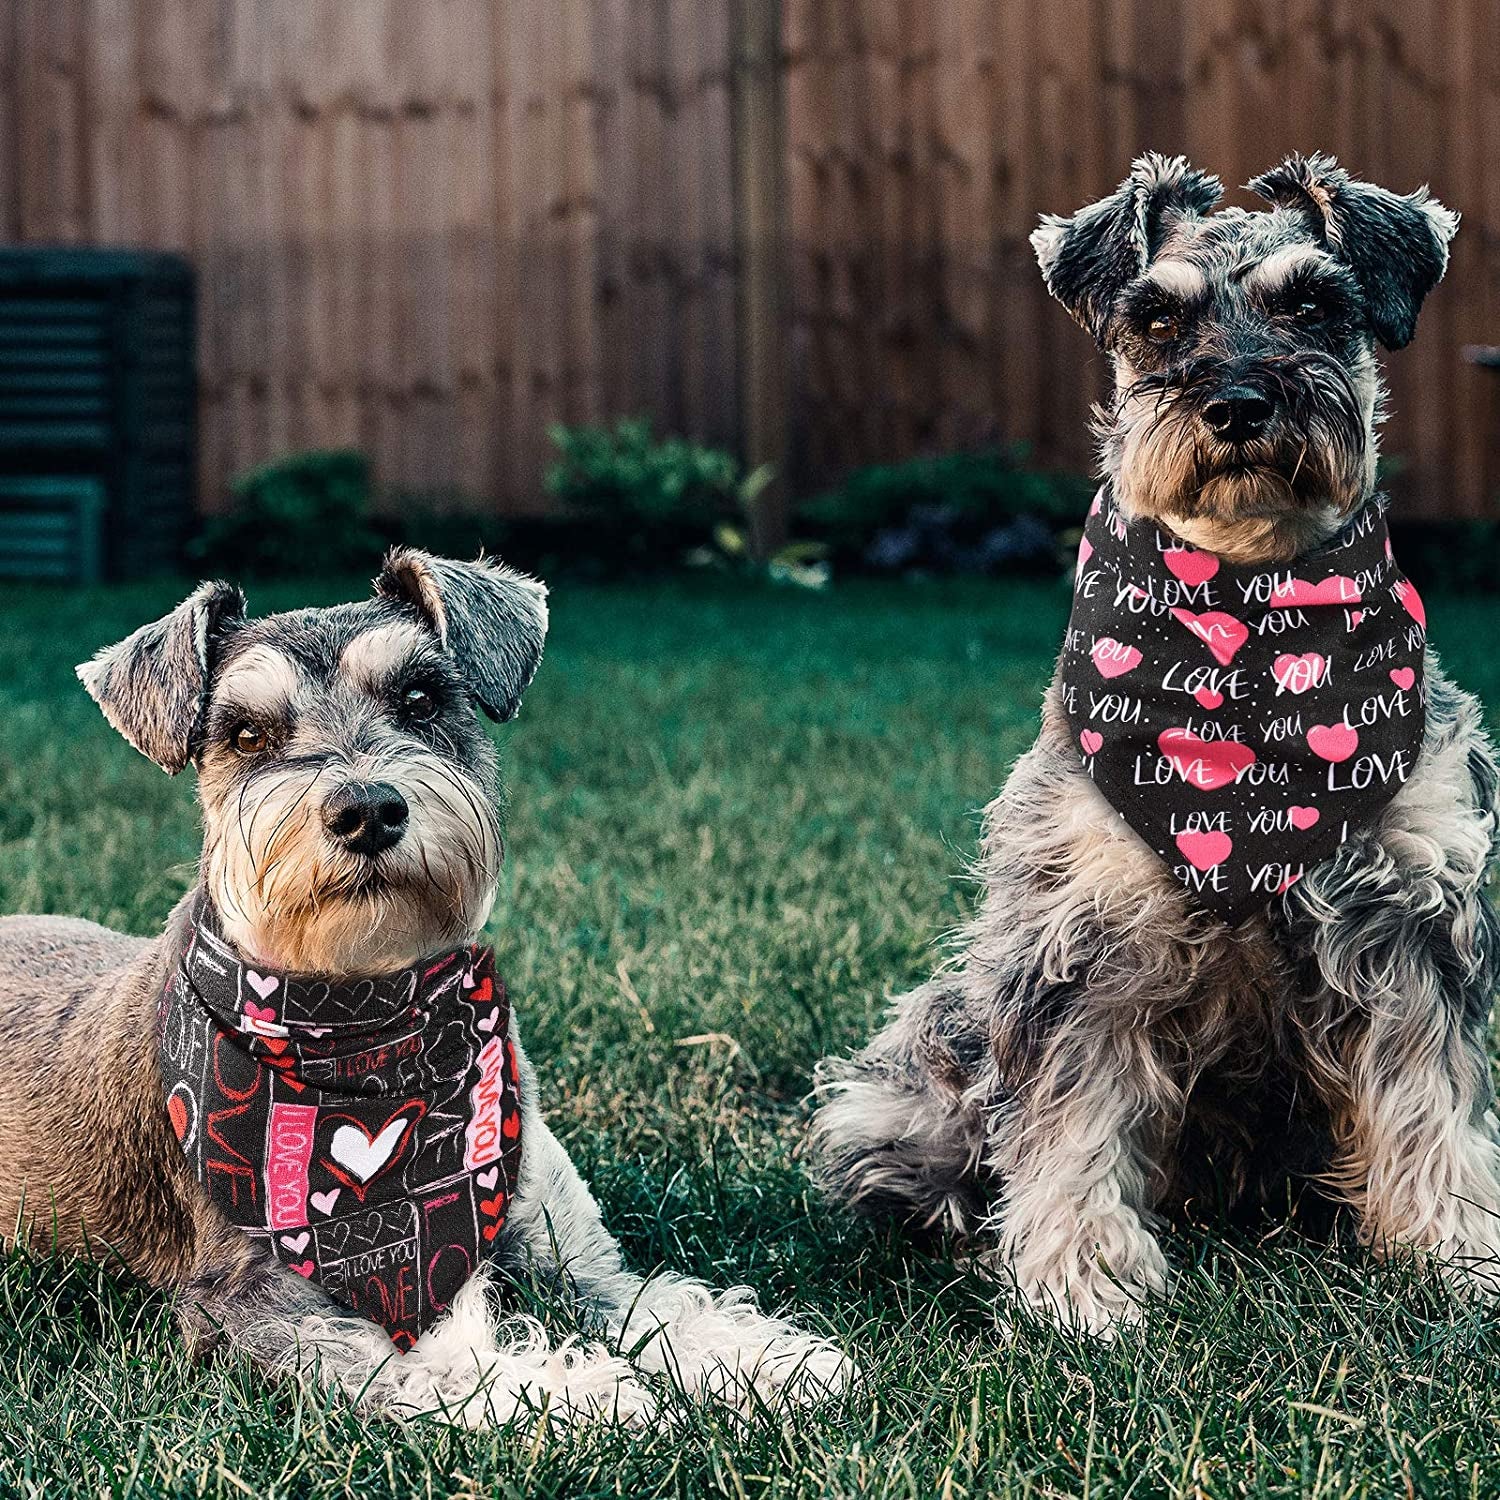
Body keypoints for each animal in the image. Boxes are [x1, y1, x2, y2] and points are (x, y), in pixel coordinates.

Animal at [0, 552, 852, 1416]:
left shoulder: (570, 1251)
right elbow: (433, 1366)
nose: (368, 810)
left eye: (419, 698)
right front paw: (587, 1396)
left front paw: (771, 1361)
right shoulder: (253, 1302)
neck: (369, 1016)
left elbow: (665, 1304)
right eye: (246, 733)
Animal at [822, 155, 1500, 1338]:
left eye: (1314, 305)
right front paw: (1084, 1285)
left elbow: (1438, 1105)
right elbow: (1070, 1126)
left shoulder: (1414, 922)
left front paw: (1458, 1253)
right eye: (1154, 319)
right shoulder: (1081, 942)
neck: (1251, 614)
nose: (1237, 405)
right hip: (921, 1064)